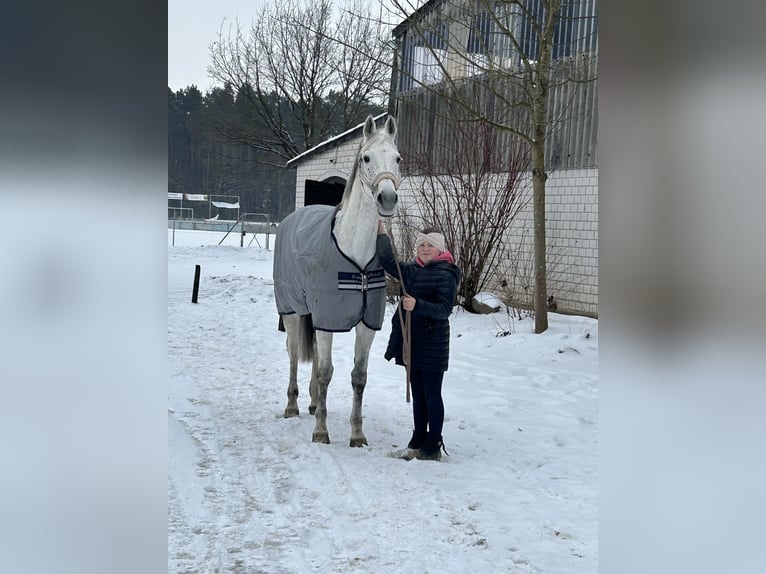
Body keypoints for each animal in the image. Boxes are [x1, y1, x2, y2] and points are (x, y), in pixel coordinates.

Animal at [273, 115, 400, 446]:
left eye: (397, 158)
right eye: (366, 157)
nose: (387, 199)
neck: (355, 250)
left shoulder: (364, 325)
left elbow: (358, 377)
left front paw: (357, 435)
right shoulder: (326, 318)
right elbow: (326, 372)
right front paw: (321, 431)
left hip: (315, 317)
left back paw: (313, 402)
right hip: (292, 311)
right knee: (294, 352)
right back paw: (292, 405)